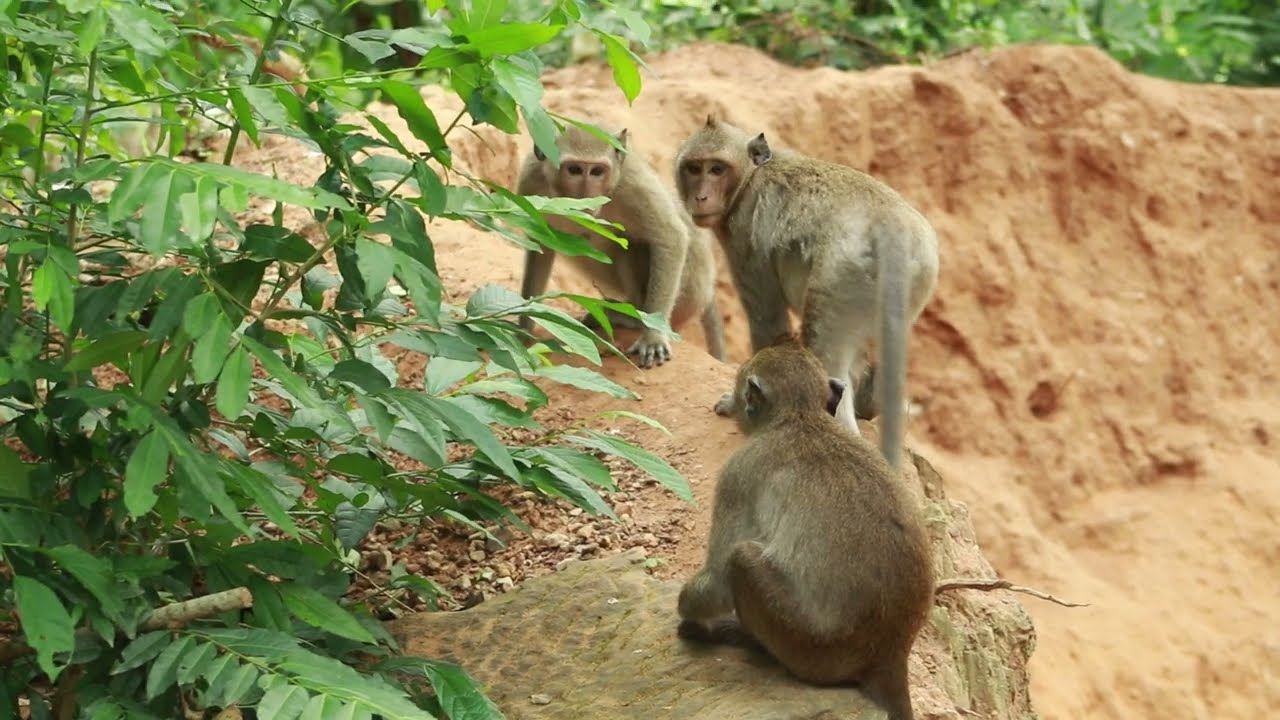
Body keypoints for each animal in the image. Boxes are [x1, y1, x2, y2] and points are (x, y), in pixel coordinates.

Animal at [517, 121, 726, 368]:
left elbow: (670, 236)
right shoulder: (530, 180)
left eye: (597, 171)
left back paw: (631, 318)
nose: (588, 197)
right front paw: (522, 331)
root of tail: (707, 290)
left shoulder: (632, 184)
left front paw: (653, 337)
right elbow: (540, 247)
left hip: (685, 298)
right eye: (574, 170)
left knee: (634, 245)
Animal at [673, 116, 939, 467]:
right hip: (915, 277)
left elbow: (768, 322)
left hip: (841, 274)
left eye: (716, 169)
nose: (701, 197)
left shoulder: (744, 236)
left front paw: (736, 402)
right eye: (694, 168)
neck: (750, 177)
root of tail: (890, 224)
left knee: (823, 344)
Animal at [675, 337, 935, 720]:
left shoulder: (737, 474)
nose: (730, 403)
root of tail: (890, 653)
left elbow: (719, 579)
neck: (800, 417)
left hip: (809, 648)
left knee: (741, 558)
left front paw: (690, 610)